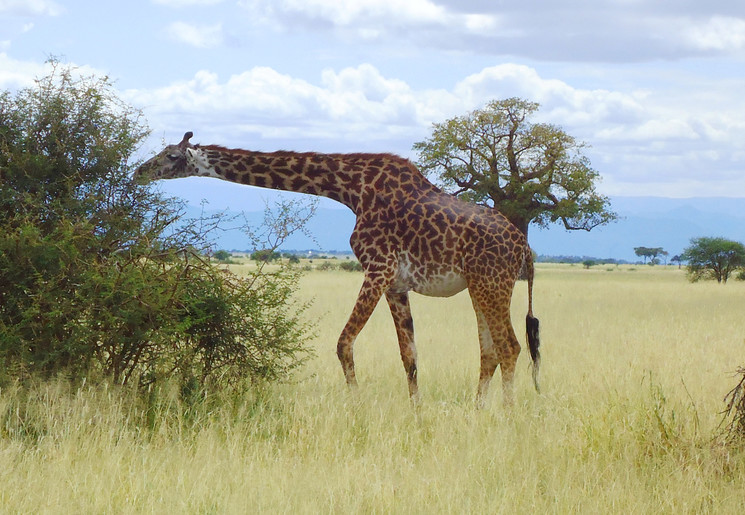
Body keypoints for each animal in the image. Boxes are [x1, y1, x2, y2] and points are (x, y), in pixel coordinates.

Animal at [135, 132, 541, 405]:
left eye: (172, 155)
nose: (140, 171)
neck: (350, 189)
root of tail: (525, 247)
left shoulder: (377, 269)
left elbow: (343, 343)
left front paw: (356, 407)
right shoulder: (396, 283)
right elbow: (409, 356)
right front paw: (417, 414)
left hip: (492, 283)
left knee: (510, 347)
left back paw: (506, 417)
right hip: (478, 287)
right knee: (489, 352)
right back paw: (477, 411)